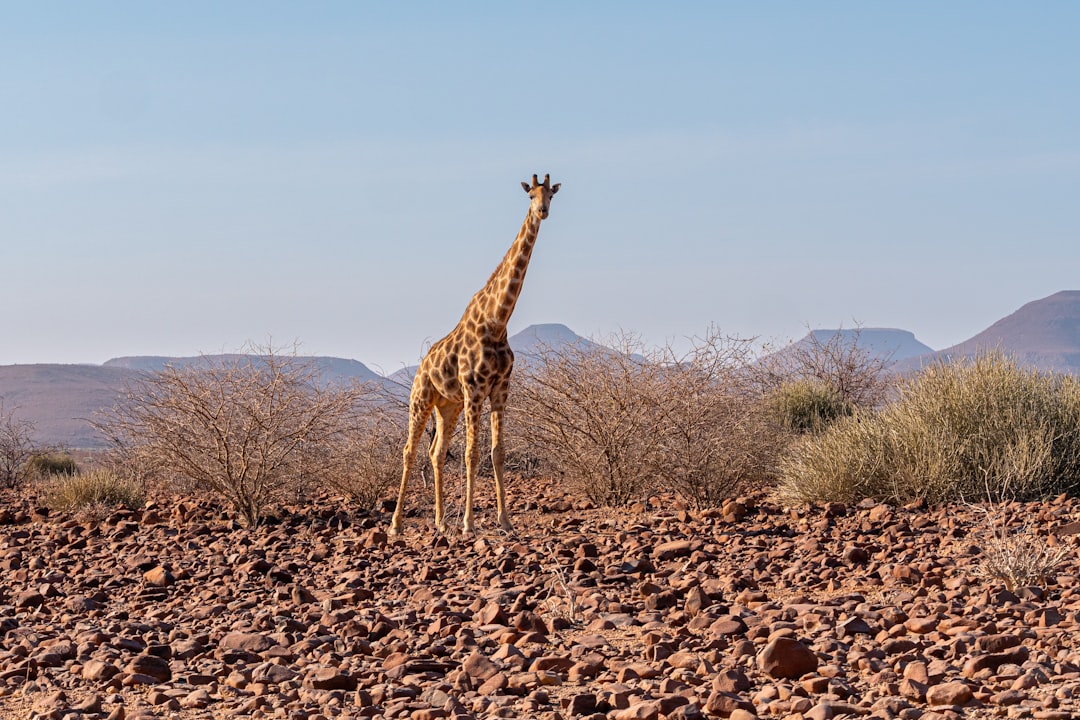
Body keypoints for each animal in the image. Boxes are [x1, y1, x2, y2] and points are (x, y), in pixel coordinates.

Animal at [390, 172, 561, 535]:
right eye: (531, 196)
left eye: (551, 195)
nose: (542, 211)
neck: (497, 321)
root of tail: (422, 366)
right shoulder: (474, 390)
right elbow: (472, 454)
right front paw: (469, 523)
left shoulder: (500, 390)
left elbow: (497, 452)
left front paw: (506, 521)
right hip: (421, 398)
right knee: (410, 450)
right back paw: (396, 524)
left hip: (447, 406)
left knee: (436, 452)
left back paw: (440, 521)